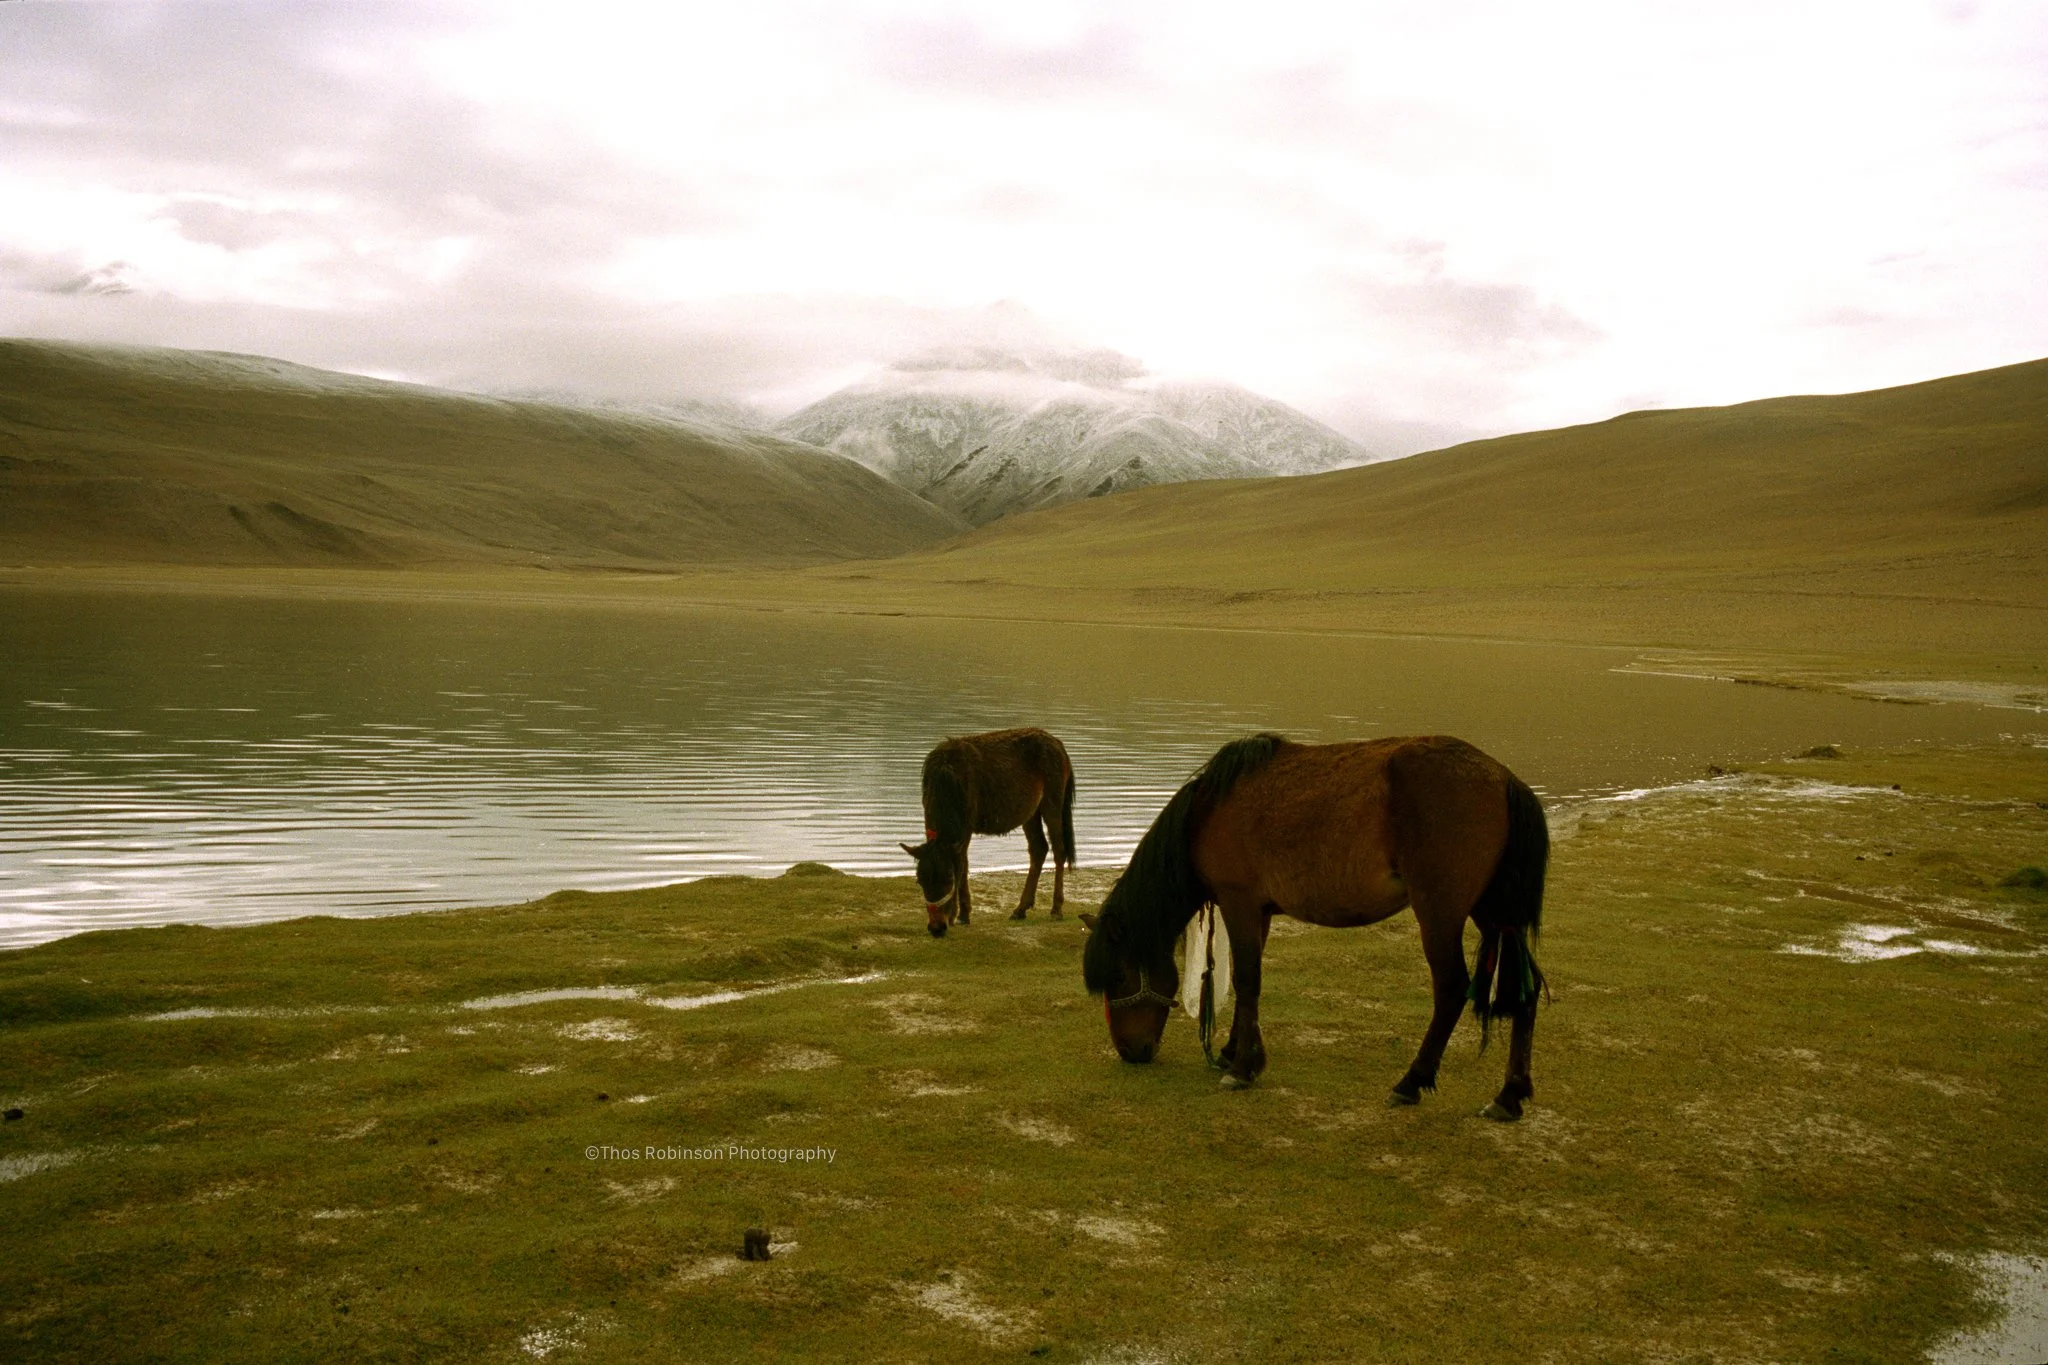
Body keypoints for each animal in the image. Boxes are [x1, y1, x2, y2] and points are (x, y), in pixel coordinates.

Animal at [901, 727, 1077, 938]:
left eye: (948, 878)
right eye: (920, 881)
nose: (936, 927)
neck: (947, 780)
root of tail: (1060, 745)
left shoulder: (966, 828)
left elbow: (962, 865)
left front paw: (958, 914)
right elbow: (964, 864)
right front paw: (962, 914)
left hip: (1053, 802)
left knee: (1059, 850)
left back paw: (1056, 908)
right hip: (1030, 812)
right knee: (1038, 849)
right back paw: (1020, 909)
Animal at [1079, 733, 1549, 1121]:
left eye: (1118, 976)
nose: (1131, 1052)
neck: (1208, 811)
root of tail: (1504, 779)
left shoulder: (1239, 901)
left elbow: (1247, 979)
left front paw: (1242, 1068)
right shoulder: (1259, 911)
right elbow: (1246, 984)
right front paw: (1234, 1052)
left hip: (1439, 912)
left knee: (1451, 989)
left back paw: (1411, 1082)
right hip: (1494, 912)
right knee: (1525, 991)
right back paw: (1509, 1096)